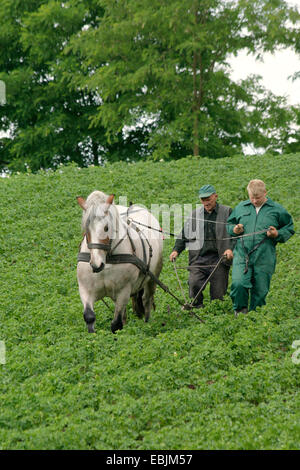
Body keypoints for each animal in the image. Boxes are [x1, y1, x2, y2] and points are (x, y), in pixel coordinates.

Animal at [76, 189, 163, 332]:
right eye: (86, 228)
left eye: (106, 228)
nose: (96, 265)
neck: (106, 260)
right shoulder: (86, 289)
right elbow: (89, 316)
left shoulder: (124, 291)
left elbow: (116, 324)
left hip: (152, 277)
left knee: (147, 300)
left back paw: (147, 324)